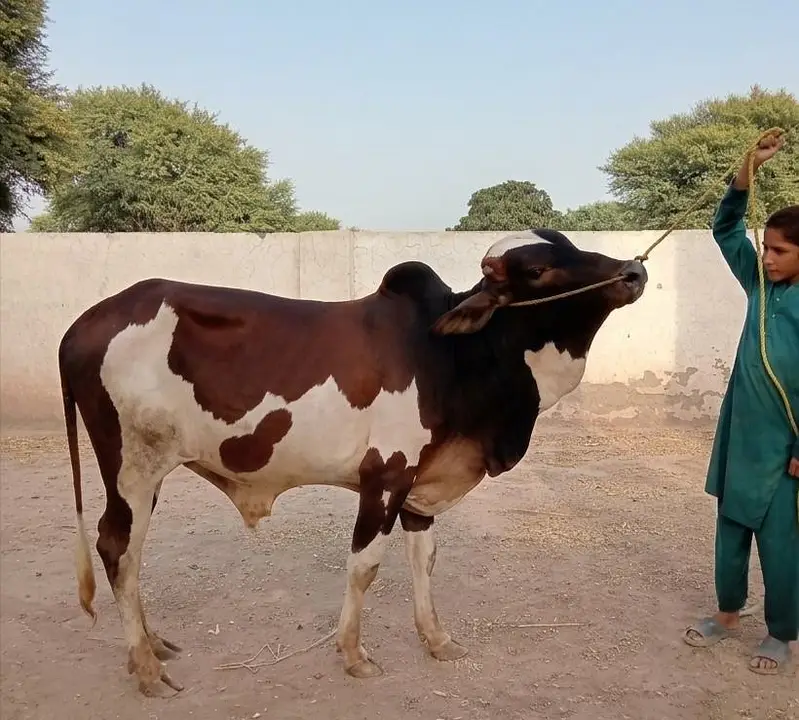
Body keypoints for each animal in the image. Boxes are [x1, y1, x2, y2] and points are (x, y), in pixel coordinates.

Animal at [58, 228, 647, 695]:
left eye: (571, 244)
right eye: (539, 269)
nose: (634, 271)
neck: (451, 358)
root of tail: (82, 325)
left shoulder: (419, 488)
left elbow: (424, 559)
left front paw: (436, 639)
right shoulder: (384, 475)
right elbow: (364, 567)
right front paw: (354, 654)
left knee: (128, 554)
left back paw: (153, 645)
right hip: (131, 466)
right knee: (116, 547)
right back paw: (144, 667)